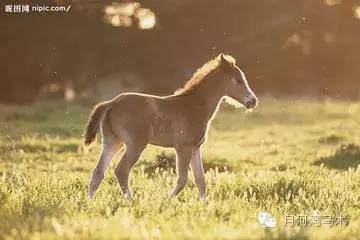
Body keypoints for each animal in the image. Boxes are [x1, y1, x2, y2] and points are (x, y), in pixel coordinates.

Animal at [83, 53, 258, 201]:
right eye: (238, 80)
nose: (253, 101)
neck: (194, 106)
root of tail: (112, 103)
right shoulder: (183, 147)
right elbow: (182, 180)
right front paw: (166, 202)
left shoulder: (195, 147)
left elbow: (200, 179)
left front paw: (205, 205)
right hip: (135, 145)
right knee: (121, 171)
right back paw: (131, 202)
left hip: (113, 142)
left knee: (98, 172)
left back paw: (89, 203)